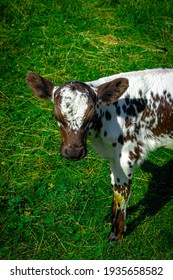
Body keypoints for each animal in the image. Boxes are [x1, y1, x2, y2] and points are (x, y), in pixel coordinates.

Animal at [26, 69, 173, 242]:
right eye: (56, 116)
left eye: (90, 117)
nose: (74, 152)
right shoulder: (114, 157)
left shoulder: (126, 156)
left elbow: (120, 192)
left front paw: (116, 234)